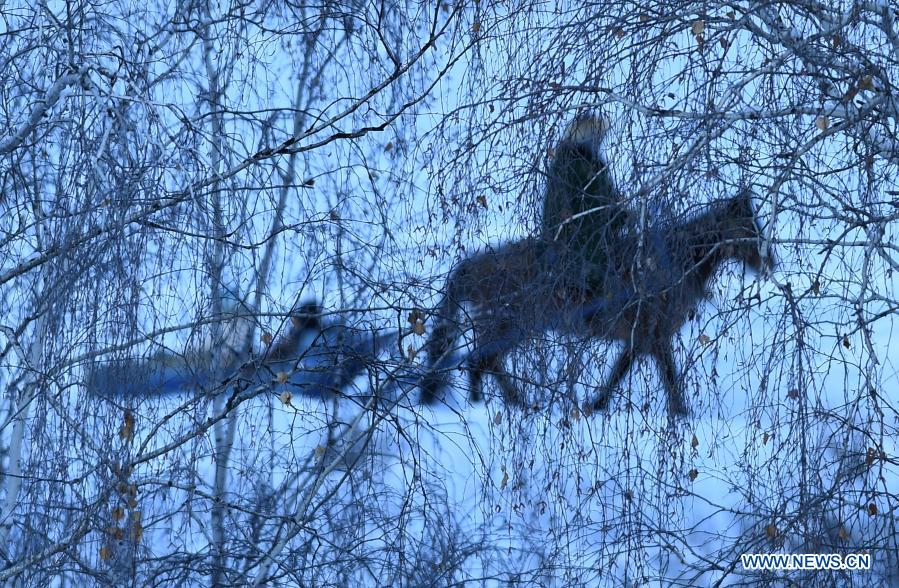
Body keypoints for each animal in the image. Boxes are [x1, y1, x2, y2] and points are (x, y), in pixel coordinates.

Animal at [420, 191, 772, 416]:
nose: (770, 261)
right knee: (482, 360)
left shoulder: (640, 339)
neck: (679, 260)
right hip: (514, 326)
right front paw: (682, 413)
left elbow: (619, 373)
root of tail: (470, 267)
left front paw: (596, 405)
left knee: (481, 362)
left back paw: (494, 403)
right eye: (749, 228)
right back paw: (507, 405)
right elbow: (668, 378)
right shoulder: (654, 335)